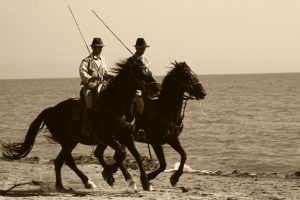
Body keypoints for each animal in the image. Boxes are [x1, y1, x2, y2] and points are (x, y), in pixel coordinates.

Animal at [1, 57, 161, 191]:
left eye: (149, 70)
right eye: (140, 72)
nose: (157, 88)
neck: (115, 105)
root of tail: (50, 110)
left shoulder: (126, 136)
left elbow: (135, 156)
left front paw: (144, 182)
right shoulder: (108, 137)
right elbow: (121, 154)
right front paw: (110, 174)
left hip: (74, 142)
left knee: (65, 161)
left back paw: (68, 185)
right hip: (68, 142)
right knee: (66, 161)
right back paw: (82, 182)